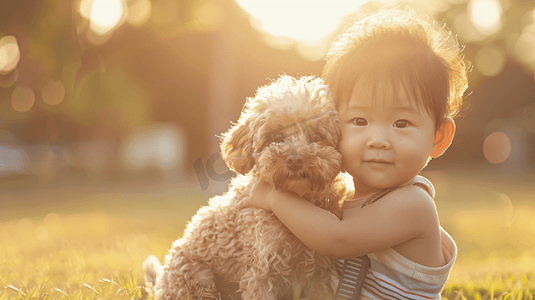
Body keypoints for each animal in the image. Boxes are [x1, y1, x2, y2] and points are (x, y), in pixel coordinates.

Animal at [144, 75, 350, 300]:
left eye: (317, 136)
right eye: (277, 138)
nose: (295, 160)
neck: (299, 205)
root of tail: (161, 280)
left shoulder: (318, 274)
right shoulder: (262, 270)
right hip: (196, 279)